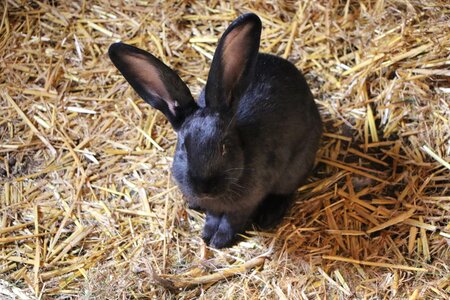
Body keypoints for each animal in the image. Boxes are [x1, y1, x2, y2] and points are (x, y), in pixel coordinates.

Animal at [107, 13, 322, 248]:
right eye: (183, 148)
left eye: (225, 146)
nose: (204, 187)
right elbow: (213, 215)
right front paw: (208, 234)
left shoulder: (246, 203)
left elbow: (232, 219)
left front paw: (218, 240)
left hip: (297, 165)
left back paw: (269, 216)